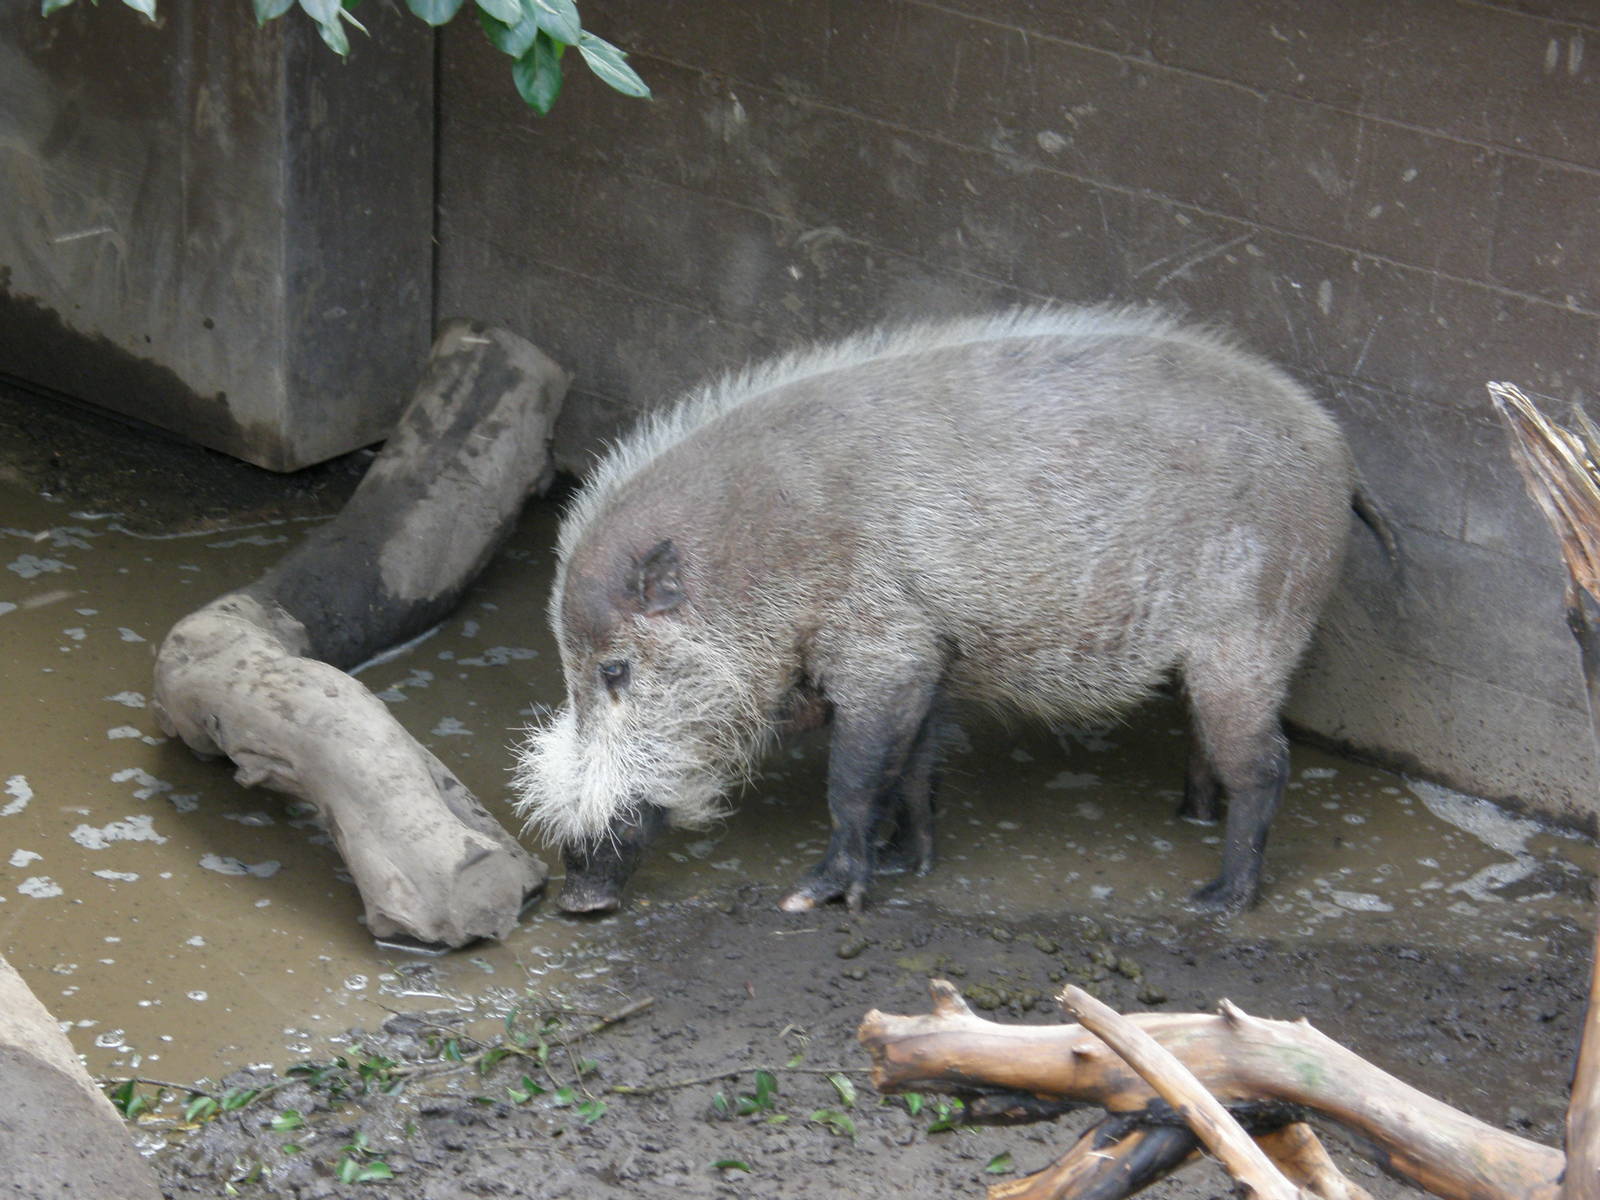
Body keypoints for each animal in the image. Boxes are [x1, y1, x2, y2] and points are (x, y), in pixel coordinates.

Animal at [514, 305, 1369, 917]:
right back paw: (1189, 816)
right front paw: (907, 862)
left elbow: (855, 778)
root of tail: (1338, 453)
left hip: (1255, 631)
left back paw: (1215, 901)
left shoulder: (884, 650)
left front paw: (818, 896)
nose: (577, 898)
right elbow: (914, 769)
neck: (763, 560)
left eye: (615, 671)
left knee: (1266, 763)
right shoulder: (929, 652)